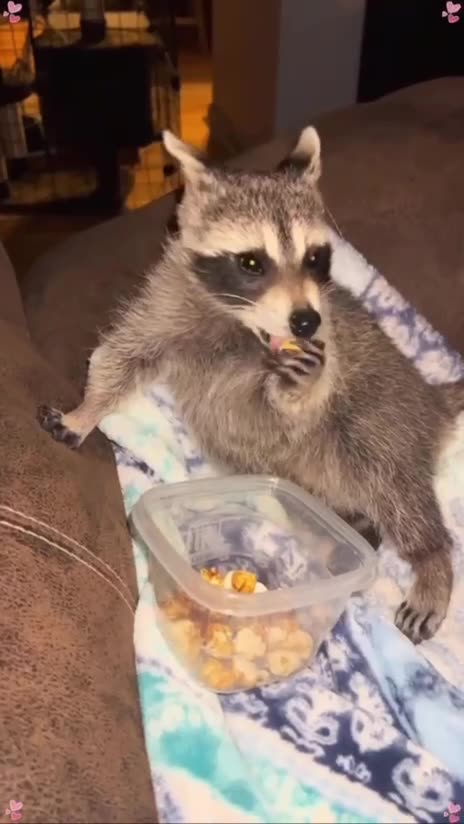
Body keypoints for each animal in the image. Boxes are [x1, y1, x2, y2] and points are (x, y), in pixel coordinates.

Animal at [38, 127, 464, 644]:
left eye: (315, 257)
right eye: (251, 262)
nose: (305, 321)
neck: (243, 324)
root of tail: (429, 396)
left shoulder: (325, 349)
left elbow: (285, 411)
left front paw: (296, 389)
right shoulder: (166, 310)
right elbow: (119, 357)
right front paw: (87, 410)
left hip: (384, 416)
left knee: (393, 483)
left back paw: (431, 559)